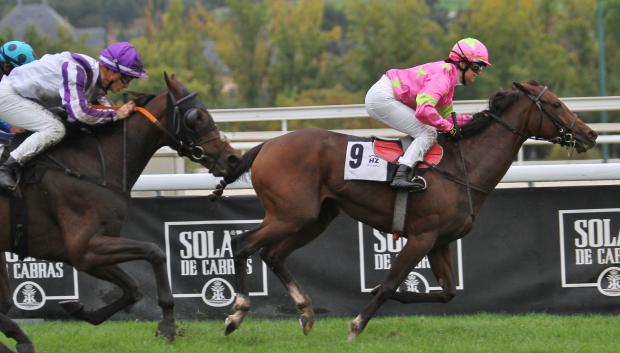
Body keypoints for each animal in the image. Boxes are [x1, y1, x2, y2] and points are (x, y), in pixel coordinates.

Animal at [0, 72, 240, 352]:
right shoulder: (85, 248)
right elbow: (155, 252)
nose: (233, 159)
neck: (91, 164)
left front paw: (78, 309)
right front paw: (168, 327)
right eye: (196, 117)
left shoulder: (84, 252)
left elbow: (133, 288)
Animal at [219, 80, 600, 338]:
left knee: (273, 254)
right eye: (554, 104)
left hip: (315, 219)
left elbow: (446, 293)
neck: (464, 166)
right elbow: (390, 282)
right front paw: (356, 325)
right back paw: (237, 313)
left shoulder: (441, 241)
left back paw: (305, 311)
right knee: (242, 243)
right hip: (290, 214)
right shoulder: (421, 236)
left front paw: (386, 296)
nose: (590, 134)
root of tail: (267, 145)